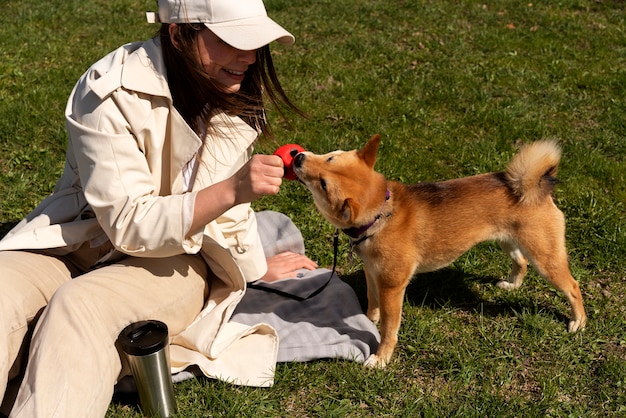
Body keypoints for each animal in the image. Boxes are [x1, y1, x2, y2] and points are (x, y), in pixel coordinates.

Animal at [292, 136, 584, 368]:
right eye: (330, 157)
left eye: (323, 183)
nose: (297, 156)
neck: (381, 215)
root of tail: (534, 186)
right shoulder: (373, 274)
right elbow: (372, 304)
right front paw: (368, 319)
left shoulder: (392, 287)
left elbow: (388, 328)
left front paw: (381, 358)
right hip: (509, 241)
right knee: (520, 261)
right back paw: (512, 285)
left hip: (545, 258)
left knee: (573, 286)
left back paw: (578, 322)